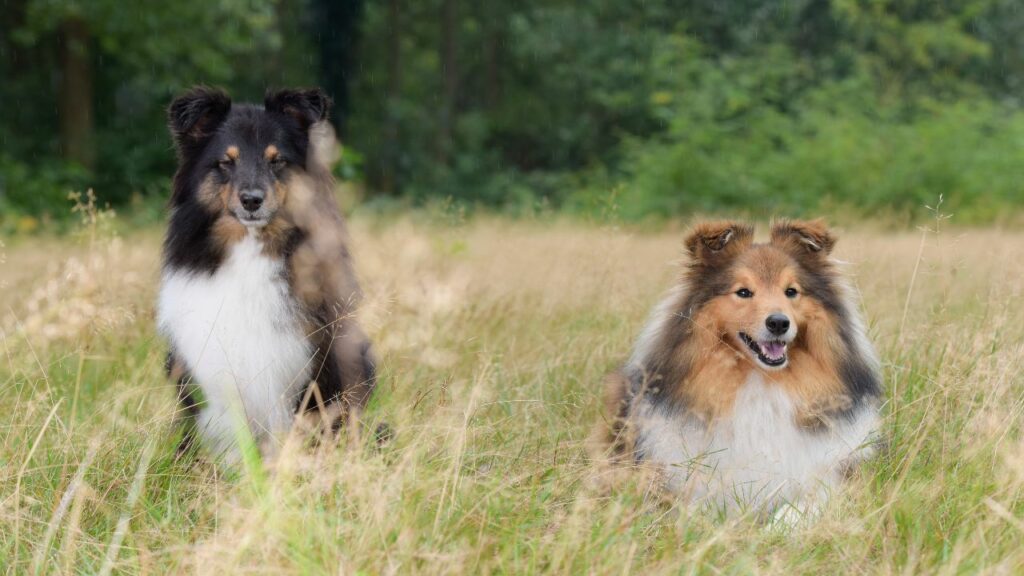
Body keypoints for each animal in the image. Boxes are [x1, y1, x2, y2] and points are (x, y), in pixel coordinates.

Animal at [598, 218, 884, 516]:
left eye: (791, 291)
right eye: (743, 292)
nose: (779, 323)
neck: (760, 380)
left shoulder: (832, 478)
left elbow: (796, 510)